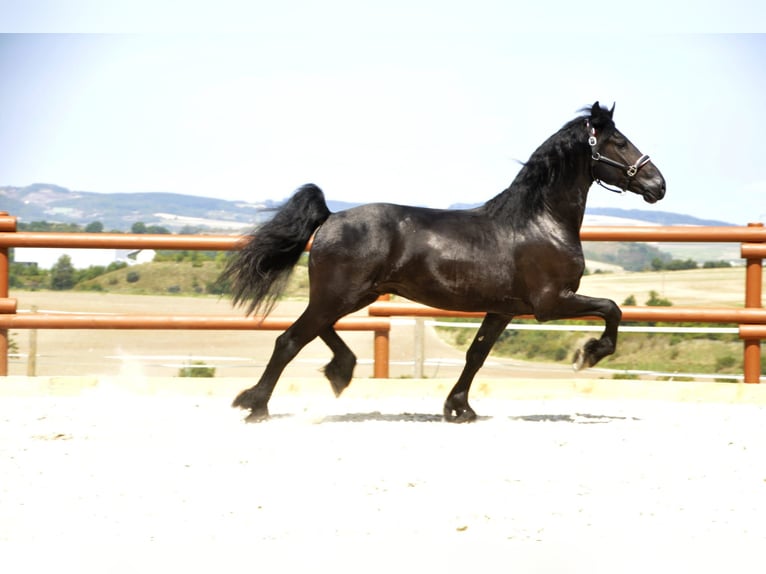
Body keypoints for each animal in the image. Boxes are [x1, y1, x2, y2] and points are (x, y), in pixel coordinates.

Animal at [221, 101, 666, 423]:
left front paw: (460, 409)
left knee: (317, 330)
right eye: (619, 141)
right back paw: (255, 404)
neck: (540, 222)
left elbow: (476, 355)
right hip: (340, 294)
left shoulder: (503, 309)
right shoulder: (551, 302)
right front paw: (588, 354)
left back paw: (340, 372)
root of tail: (330, 217)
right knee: (291, 339)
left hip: (354, 294)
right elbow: (612, 309)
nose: (659, 185)